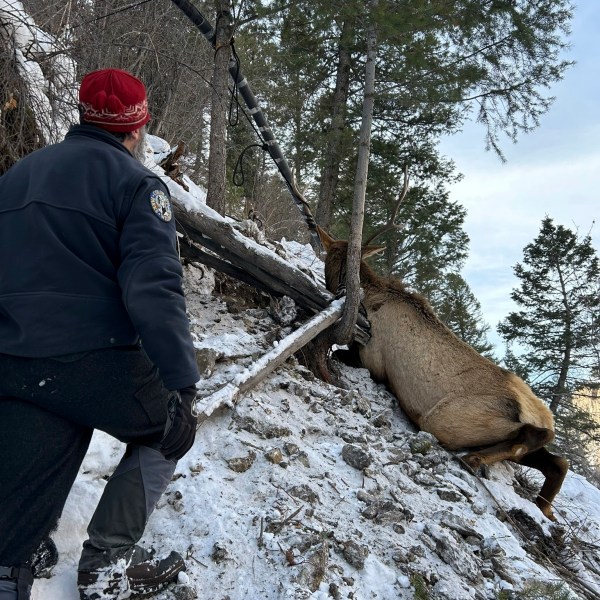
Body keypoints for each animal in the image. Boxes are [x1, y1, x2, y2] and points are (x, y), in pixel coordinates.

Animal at [318, 226, 568, 520]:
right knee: (557, 461)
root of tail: (541, 415)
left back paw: (473, 460)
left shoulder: (372, 360)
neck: (367, 294)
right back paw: (545, 507)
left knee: (532, 440)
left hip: (445, 420)